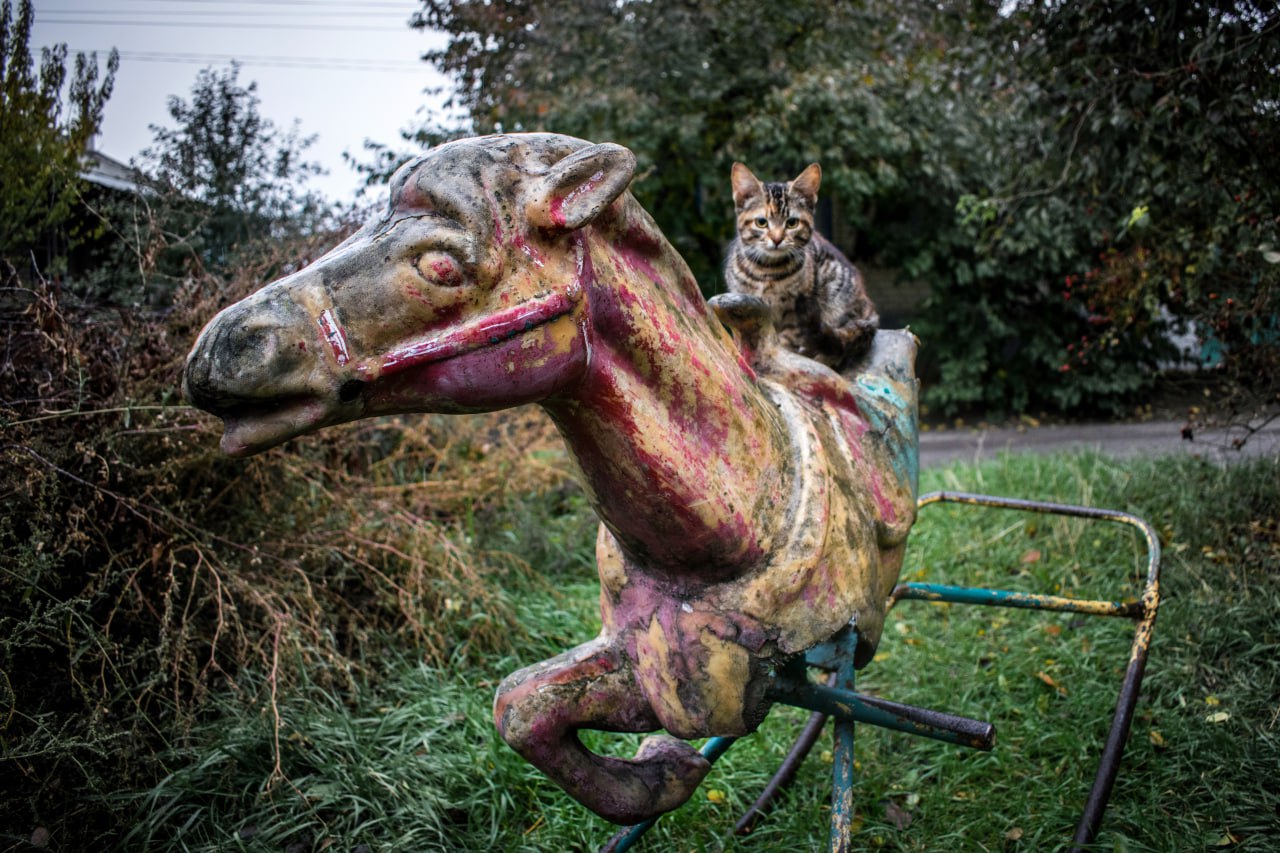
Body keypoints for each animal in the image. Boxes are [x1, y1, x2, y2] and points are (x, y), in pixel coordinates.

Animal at [721, 162, 880, 368]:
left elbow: (787, 344)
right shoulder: (743, 298)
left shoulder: (796, 312)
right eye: (761, 222)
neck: (767, 271)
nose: (777, 239)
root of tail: (870, 311)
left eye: (792, 223)